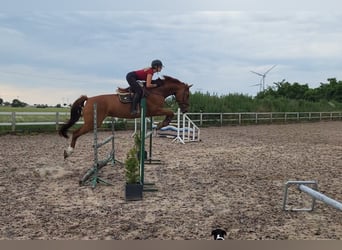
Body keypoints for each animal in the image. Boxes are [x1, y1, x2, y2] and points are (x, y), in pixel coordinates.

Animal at [59, 75, 192, 159]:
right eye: (187, 94)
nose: (185, 110)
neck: (157, 91)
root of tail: (89, 99)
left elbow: (170, 113)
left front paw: (161, 124)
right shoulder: (155, 110)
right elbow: (170, 112)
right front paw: (162, 124)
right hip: (92, 123)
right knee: (75, 133)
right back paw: (68, 152)